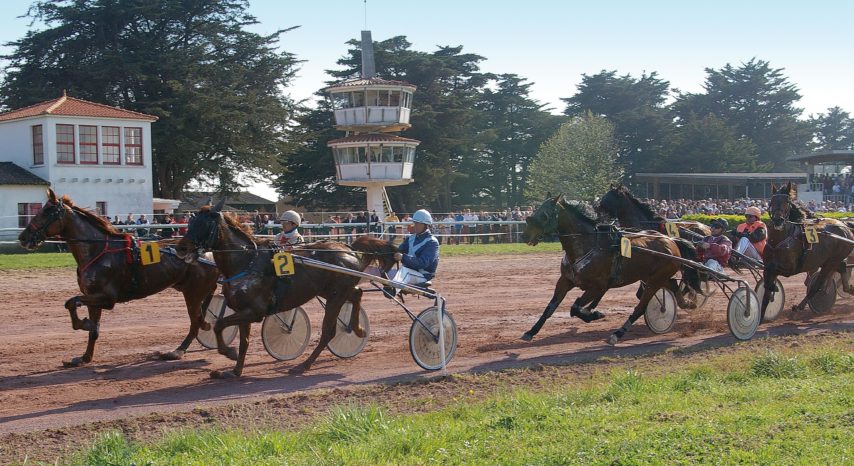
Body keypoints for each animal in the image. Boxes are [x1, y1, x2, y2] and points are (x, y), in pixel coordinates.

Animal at [18, 189, 219, 368]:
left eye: (47, 212)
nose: (23, 237)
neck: (97, 251)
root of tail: (208, 253)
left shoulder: (107, 298)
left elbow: (71, 302)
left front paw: (83, 323)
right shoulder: (92, 297)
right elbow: (89, 325)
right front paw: (84, 356)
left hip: (193, 293)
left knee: (196, 322)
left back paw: (178, 350)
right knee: (198, 319)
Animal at [176, 200, 402, 378]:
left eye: (204, 224)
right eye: (191, 222)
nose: (181, 248)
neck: (247, 262)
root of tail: (349, 249)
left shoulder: (254, 311)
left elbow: (219, 324)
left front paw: (227, 352)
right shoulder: (243, 310)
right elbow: (243, 341)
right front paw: (234, 370)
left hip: (335, 296)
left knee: (329, 331)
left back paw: (305, 364)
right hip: (330, 291)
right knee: (357, 294)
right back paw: (357, 328)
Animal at [520, 195, 704, 344]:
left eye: (544, 214)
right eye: (536, 209)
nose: (525, 235)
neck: (588, 245)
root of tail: (672, 240)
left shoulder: (597, 286)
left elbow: (575, 308)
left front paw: (595, 314)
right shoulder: (565, 281)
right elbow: (550, 308)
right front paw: (530, 332)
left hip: (654, 281)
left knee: (640, 307)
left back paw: (617, 334)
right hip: (657, 277)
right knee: (673, 288)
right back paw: (688, 303)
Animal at [764, 182, 854, 316]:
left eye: (787, 202)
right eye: (772, 201)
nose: (777, 220)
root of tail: (845, 226)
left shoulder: (790, 269)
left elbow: (773, 270)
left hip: (831, 261)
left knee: (818, 284)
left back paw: (801, 305)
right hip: (830, 260)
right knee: (841, 268)